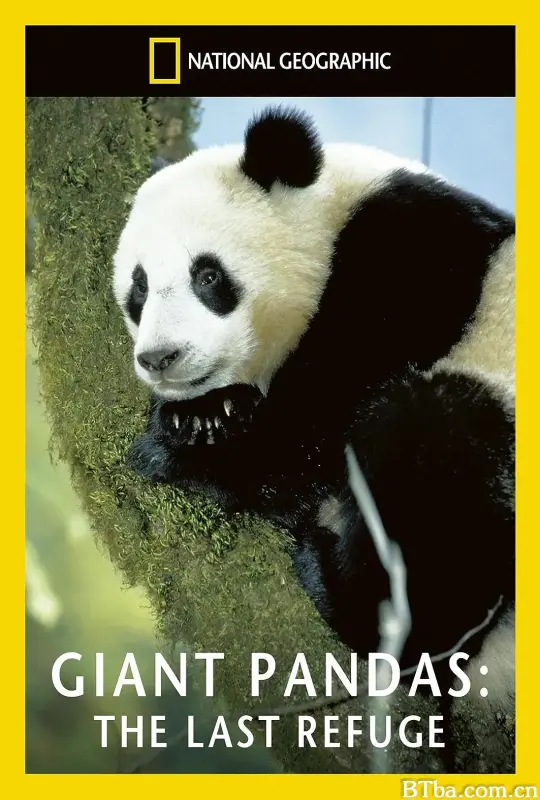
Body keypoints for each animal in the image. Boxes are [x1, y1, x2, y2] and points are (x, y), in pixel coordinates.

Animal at [113, 106, 515, 764]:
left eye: (207, 275)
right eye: (138, 290)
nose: (160, 358)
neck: (330, 216)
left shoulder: (410, 262)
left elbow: (320, 426)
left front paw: (191, 447)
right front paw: (201, 416)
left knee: (436, 451)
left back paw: (353, 593)